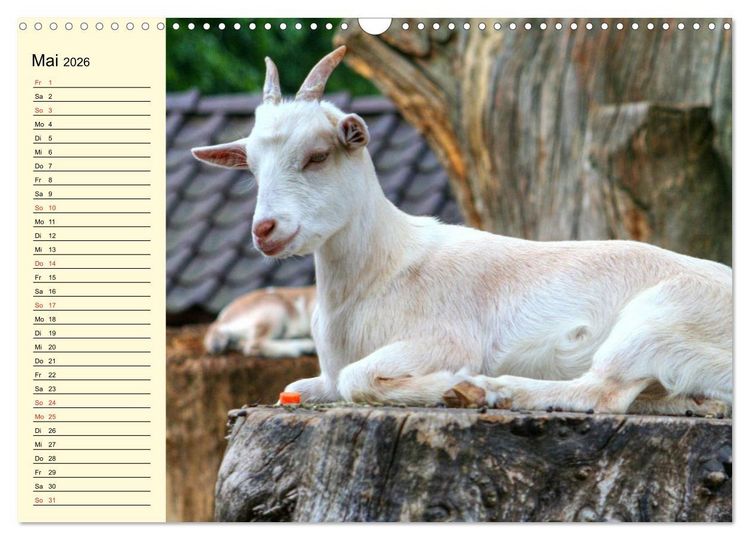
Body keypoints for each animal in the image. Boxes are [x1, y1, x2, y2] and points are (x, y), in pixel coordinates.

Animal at [192, 46, 732, 415]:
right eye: (251, 168)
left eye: (318, 156)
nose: (265, 229)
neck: (383, 269)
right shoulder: (322, 374)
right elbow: (297, 389)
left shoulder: (443, 338)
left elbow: (356, 378)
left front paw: (454, 384)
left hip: (657, 319)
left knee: (603, 392)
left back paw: (493, 389)